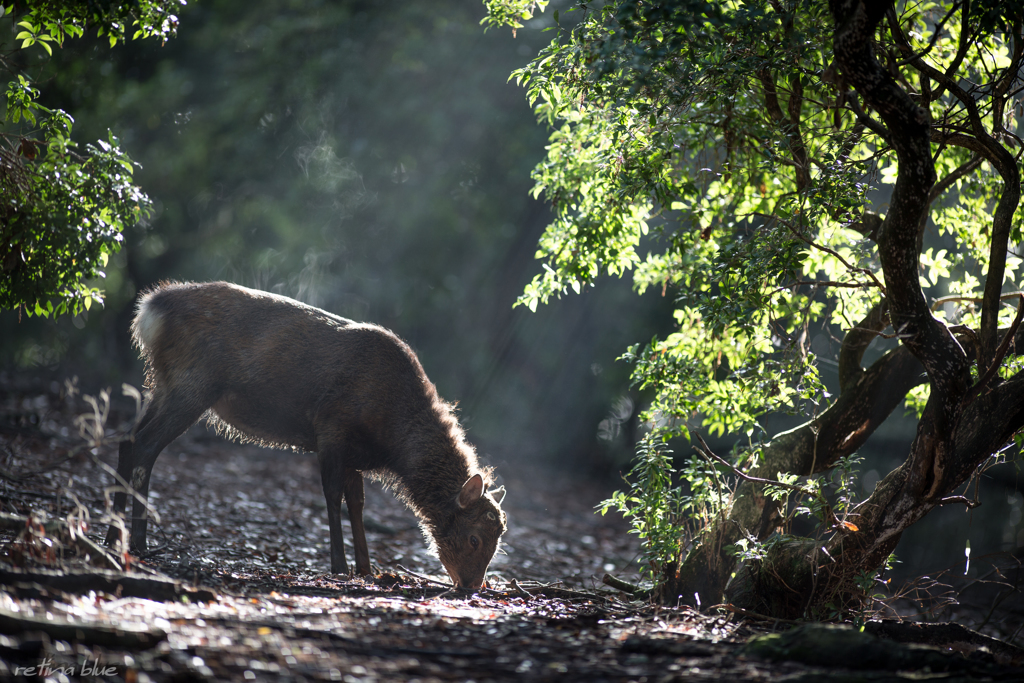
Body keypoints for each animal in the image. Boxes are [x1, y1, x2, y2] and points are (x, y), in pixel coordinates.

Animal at [105, 280, 505, 589]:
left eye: (498, 540)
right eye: (474, 538)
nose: (472, 586)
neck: (391, 437)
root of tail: (149, 311)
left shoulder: (354, 455)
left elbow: (357, 504)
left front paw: (367, 569)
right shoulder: (332, 427)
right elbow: (332, 496)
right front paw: (339, 566)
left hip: (163, 383)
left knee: (126, 440)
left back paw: (113, 536)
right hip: (192, 384)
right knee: (145, 447)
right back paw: (138, 541)